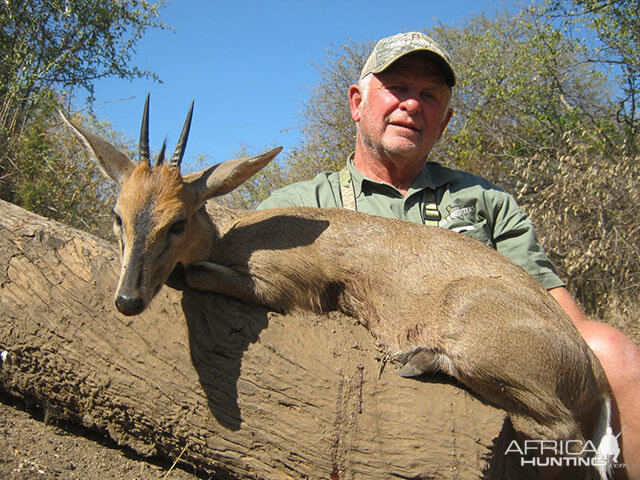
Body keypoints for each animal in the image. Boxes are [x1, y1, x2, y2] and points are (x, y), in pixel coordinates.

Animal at [62, 96, 612, 476]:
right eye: (117, 215)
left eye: (178, 221)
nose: (128, 300)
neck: (235, 233)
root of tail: (591, 367)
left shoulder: (282, 288)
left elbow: (190, 272)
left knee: (565, 435)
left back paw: (416, 359)